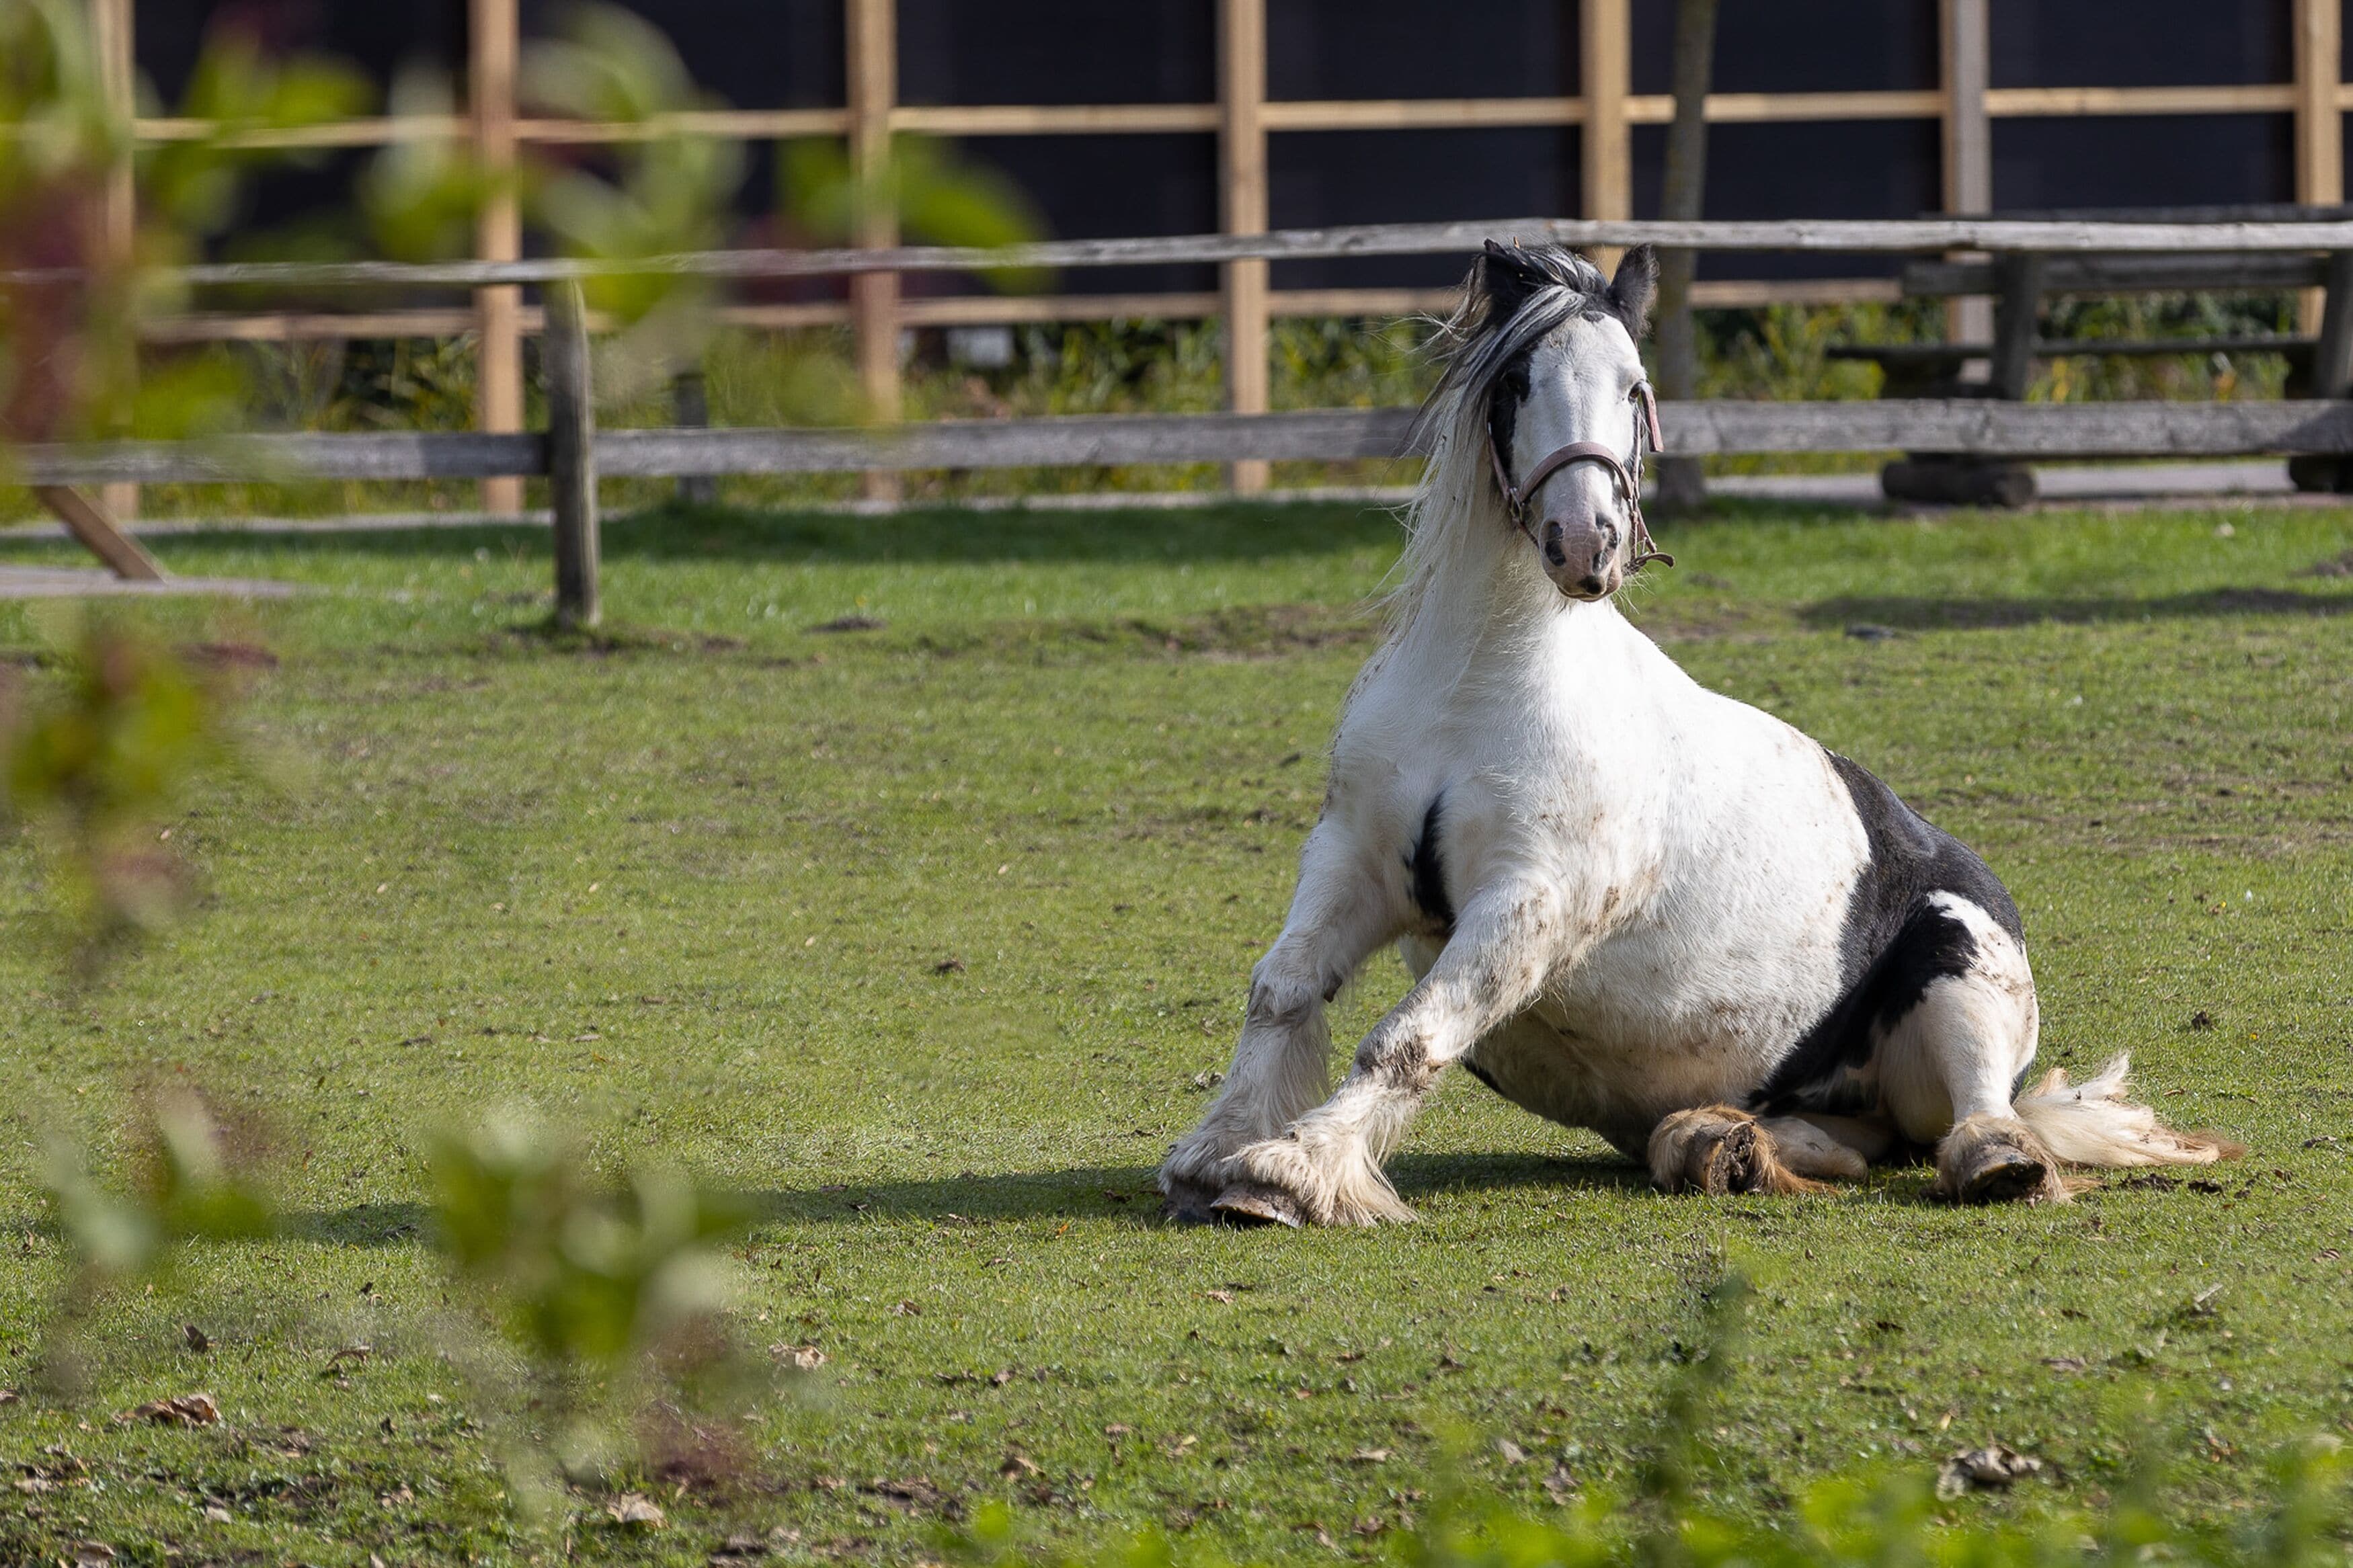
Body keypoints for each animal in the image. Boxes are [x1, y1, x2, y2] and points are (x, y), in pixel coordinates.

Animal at [1158, 240, 2237, 1227]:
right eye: (1516, 382)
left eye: (1634, 388)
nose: (1586, 542)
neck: (1480, 681)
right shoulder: (1354, 861)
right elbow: (1281, 989)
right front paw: (1214, 1156)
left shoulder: (1527, 903)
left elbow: (1407, 1038)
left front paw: (1290, 1170)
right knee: (1839, 1138)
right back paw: (1723, 1146)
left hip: (1957, 964)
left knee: (1973, 1120)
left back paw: (1990, 1162)